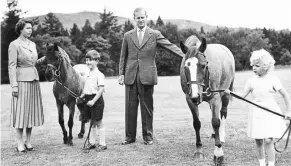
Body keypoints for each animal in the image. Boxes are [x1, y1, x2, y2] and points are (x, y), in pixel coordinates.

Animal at [180, 35, 235, 165]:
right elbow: (196, 123)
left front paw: (218, 153)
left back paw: (221, 136)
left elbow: (215, 122)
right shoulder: (189, 100)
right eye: (185, 67)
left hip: (225, 94)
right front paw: (199, 150)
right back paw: (216, 134)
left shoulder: (215, 98)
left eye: (203, 65)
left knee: (223, 113)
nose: (195, 96)